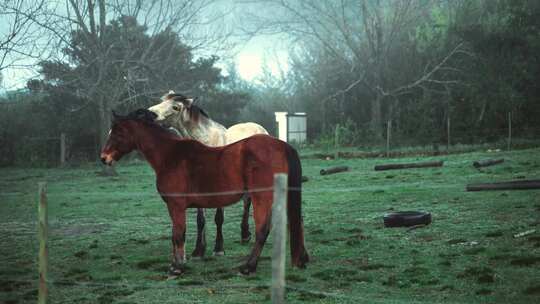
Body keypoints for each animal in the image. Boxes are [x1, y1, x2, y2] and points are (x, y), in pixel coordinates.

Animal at [98, 109, 308, 276]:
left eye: (117, 133)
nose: (104, 158)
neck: (170, 156)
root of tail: (283, 146)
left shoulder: (176, 206)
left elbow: (178, 234)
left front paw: (177, 267)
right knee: (295, 222)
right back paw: (300, 259)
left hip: (261, 198)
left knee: (262, 230)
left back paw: (248, 267)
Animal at [148, 92, 268, 256]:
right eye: (162, 100)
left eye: (176, 107)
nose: (150, 113)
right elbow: (200, 220)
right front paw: (199, 250)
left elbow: (219, 217)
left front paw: (218, 248)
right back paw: (245, 235)